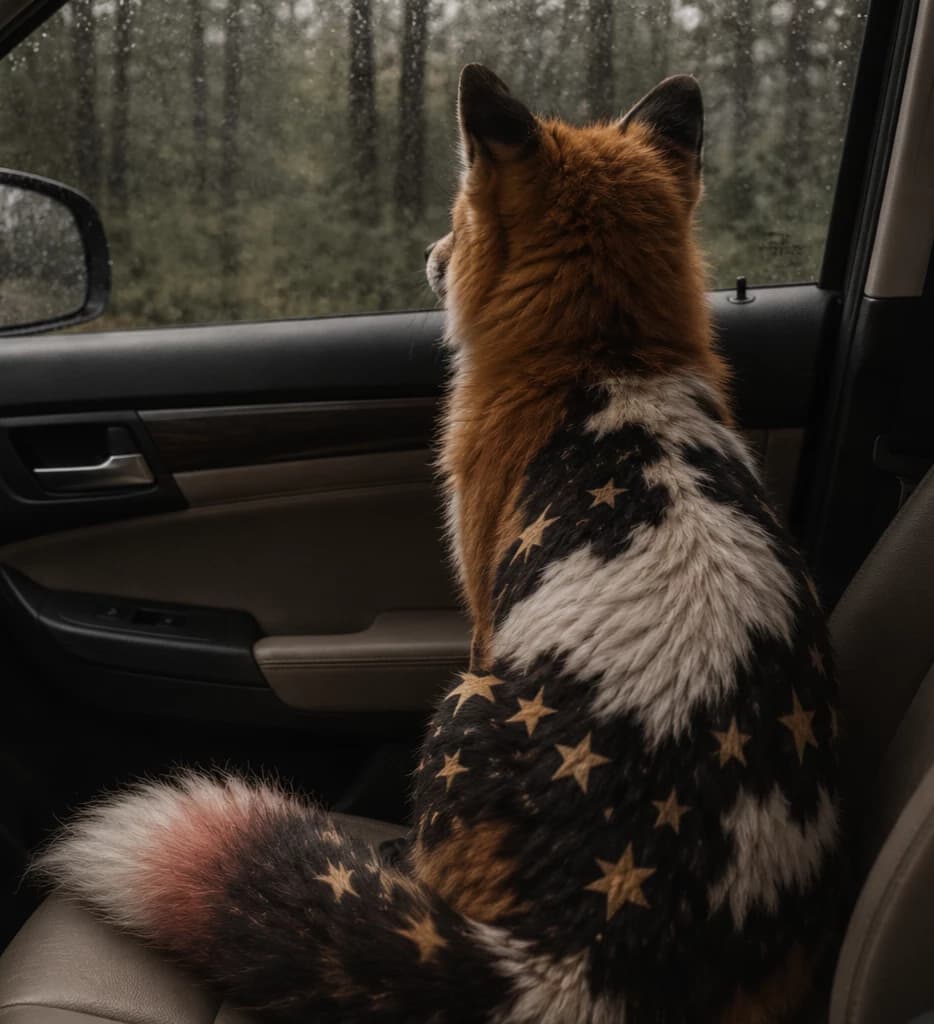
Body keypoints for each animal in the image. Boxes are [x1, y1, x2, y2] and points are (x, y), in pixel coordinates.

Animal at [36, 65, 841, 1023]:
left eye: (457, 214)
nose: (428, 252)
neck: (606, 352)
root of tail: (594, 950)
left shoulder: (481, 617)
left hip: (458, 707)